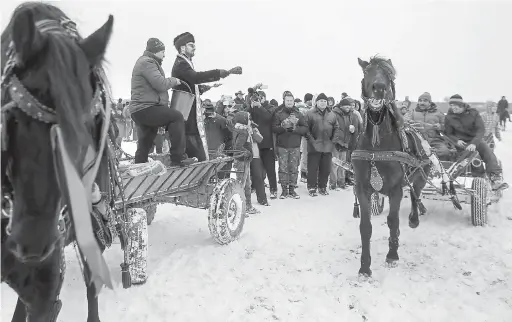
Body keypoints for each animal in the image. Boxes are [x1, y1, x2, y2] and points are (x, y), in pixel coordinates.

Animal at [352, 56, 432, 278]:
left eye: (389, 75)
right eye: (367, 71)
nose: (379, 88)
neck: (376, 146)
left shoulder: (396, 189)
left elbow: (393, 220)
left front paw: (392, 255)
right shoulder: (362, 188)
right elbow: (365, 227)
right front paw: (365, 266)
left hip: (420, 176)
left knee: (415, 194)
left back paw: (414, 218)